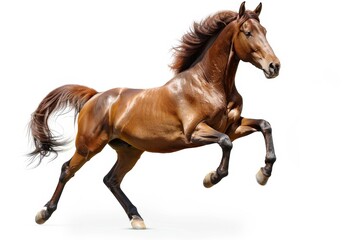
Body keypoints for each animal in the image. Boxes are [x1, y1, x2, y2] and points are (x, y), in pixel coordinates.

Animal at [28, 2, 282, 231]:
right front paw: (211, 178)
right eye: (248, 32)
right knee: (67, 171)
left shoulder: (233, 126)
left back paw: (136, 218)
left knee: (111, 180)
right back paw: (44, 213)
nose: (274, 66)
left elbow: (265, 125)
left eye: (265, 31)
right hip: (88, 147)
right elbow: (226, 143)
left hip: (129, 151)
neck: (208, 85)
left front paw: (264, 173)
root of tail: (95, 96)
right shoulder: (194, 132)